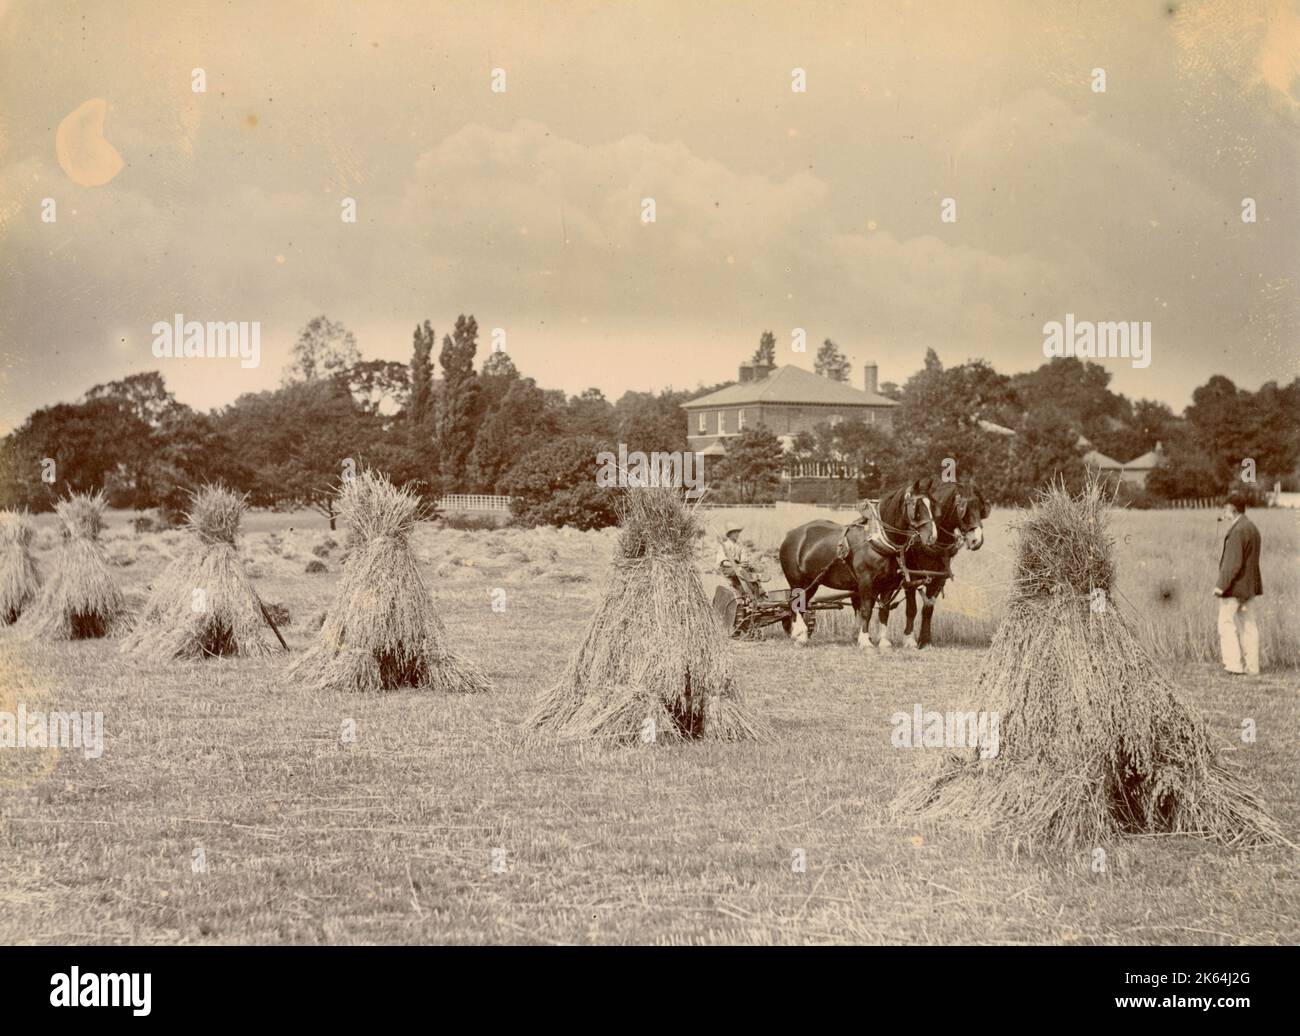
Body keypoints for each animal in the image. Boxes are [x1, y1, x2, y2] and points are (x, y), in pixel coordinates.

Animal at [780, 478, 935, 647]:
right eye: (917, 506)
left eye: (932, 504)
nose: (932, 537)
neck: (877, 540)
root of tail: (791, 535)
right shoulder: (865, 582)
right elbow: (866, 610)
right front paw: (866, 641)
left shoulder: (887, 585)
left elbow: (884, 611)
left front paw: (884, 643)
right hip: (797, 581)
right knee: (795, 604)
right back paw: (798, 634)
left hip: (812, 582)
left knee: (802, 604)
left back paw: (801, 636)